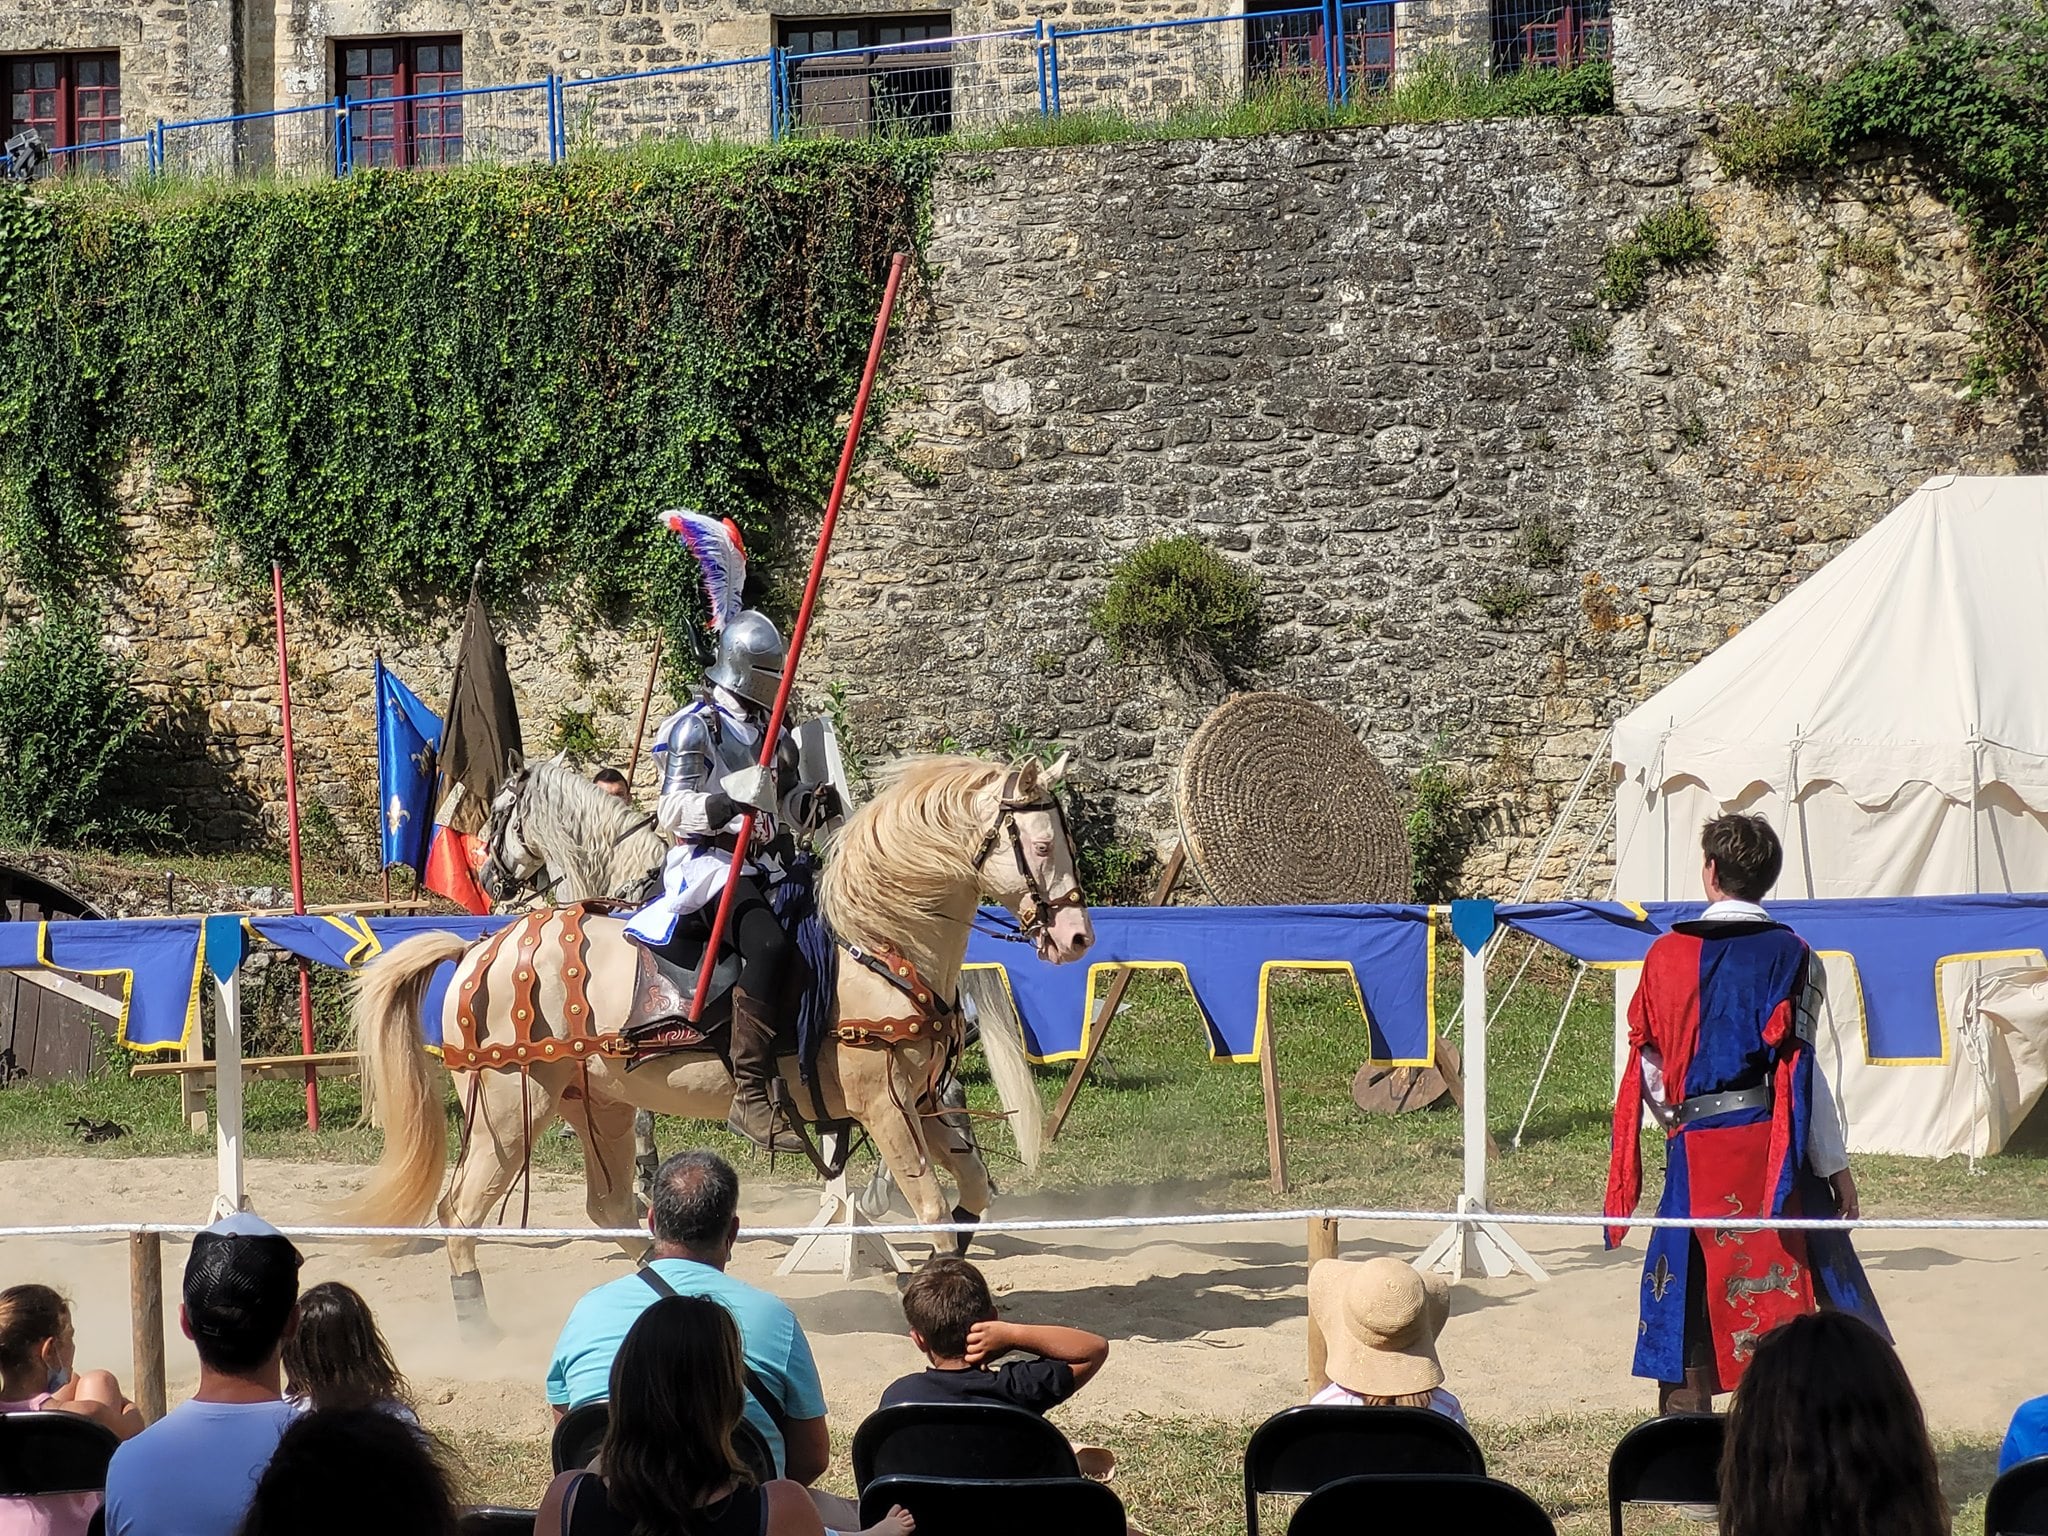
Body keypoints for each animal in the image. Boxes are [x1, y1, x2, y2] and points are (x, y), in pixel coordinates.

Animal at [356, 753, 1089, 1327]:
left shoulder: (917, 1103)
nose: (1078, 936)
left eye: (1059, 841)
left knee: (604, 1207)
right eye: (1040, 846)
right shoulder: (885, 1106)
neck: (878, 940)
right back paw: (478, 1328)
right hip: (509, 1108)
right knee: (461, 1209)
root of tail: (481, 949)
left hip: (592, 1106)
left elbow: (970, 1194)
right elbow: (935, 1206)